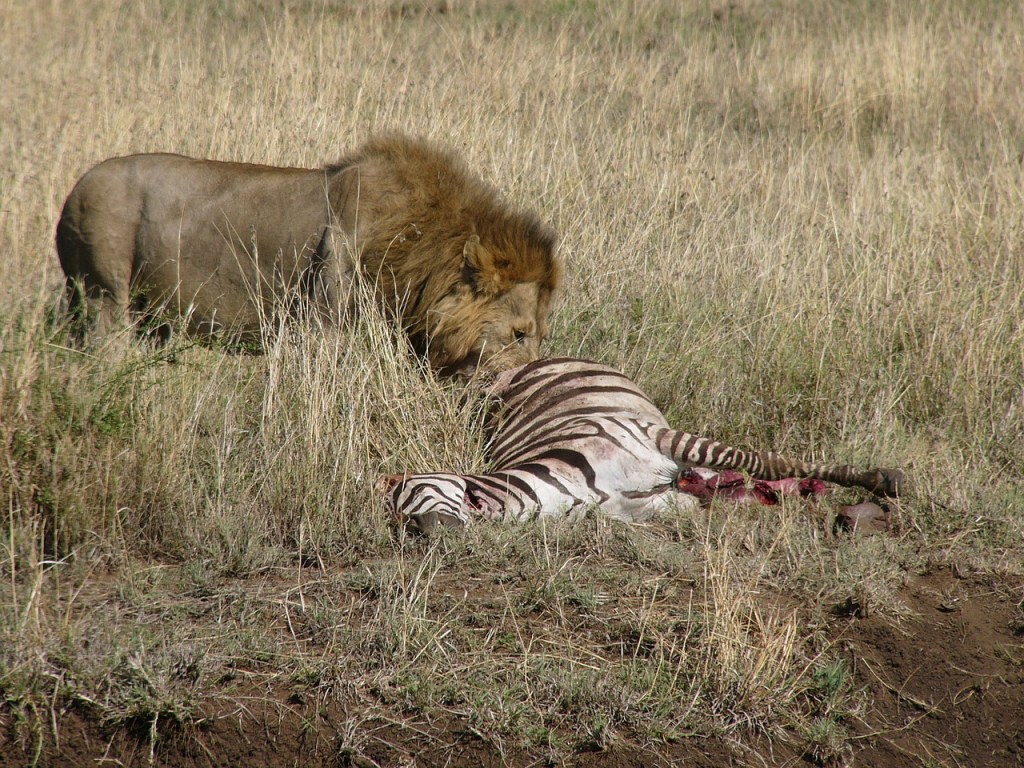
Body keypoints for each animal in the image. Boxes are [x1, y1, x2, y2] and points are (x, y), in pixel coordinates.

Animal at [55, 133, 562, 376]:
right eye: (518, 334)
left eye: (541, 336)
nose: (530, 378)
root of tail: (74, 190)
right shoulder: (321, 324)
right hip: (104, 294)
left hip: (152, 315)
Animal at [383, 357, 905, 532]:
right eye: (401, 520)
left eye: (412, 493)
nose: (427, 532)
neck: (571, 490)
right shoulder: (649, 507)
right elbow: (708, 509)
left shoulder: (657, 439)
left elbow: (765, 460)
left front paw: (879, 480)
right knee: (724, 482)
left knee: (749, 465)